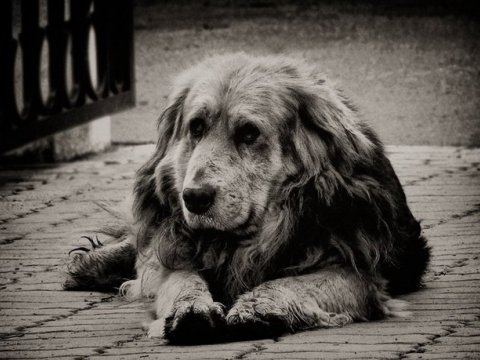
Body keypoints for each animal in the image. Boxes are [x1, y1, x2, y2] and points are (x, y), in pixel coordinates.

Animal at [64, 52, 432, 344]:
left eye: (249, 133)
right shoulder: (176, 255)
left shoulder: (360, 272)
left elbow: (291, 283)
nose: (194, 198)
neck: (246, 240)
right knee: (141, 242)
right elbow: (179, 278)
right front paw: (189, 310)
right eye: (196, 127)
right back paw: (91, 263)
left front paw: (257, 308)